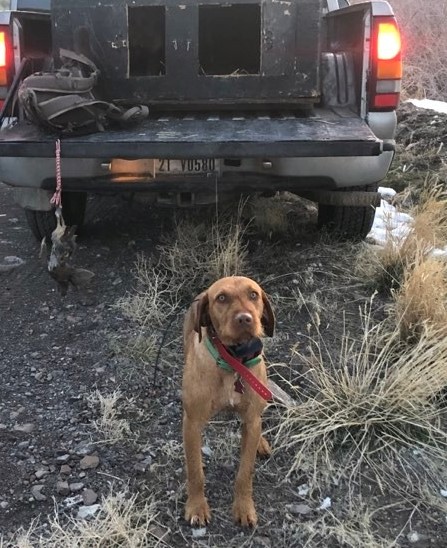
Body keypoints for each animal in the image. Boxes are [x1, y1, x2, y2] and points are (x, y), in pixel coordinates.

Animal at [183, 276, 274, 528]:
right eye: (221, 298)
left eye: (253, 294)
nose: (245, 318)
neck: (233, 361)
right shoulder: (192, 423)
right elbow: (195, 471)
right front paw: (197, 506)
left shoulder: (251, 419)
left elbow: (245, 473)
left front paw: (243, 507)